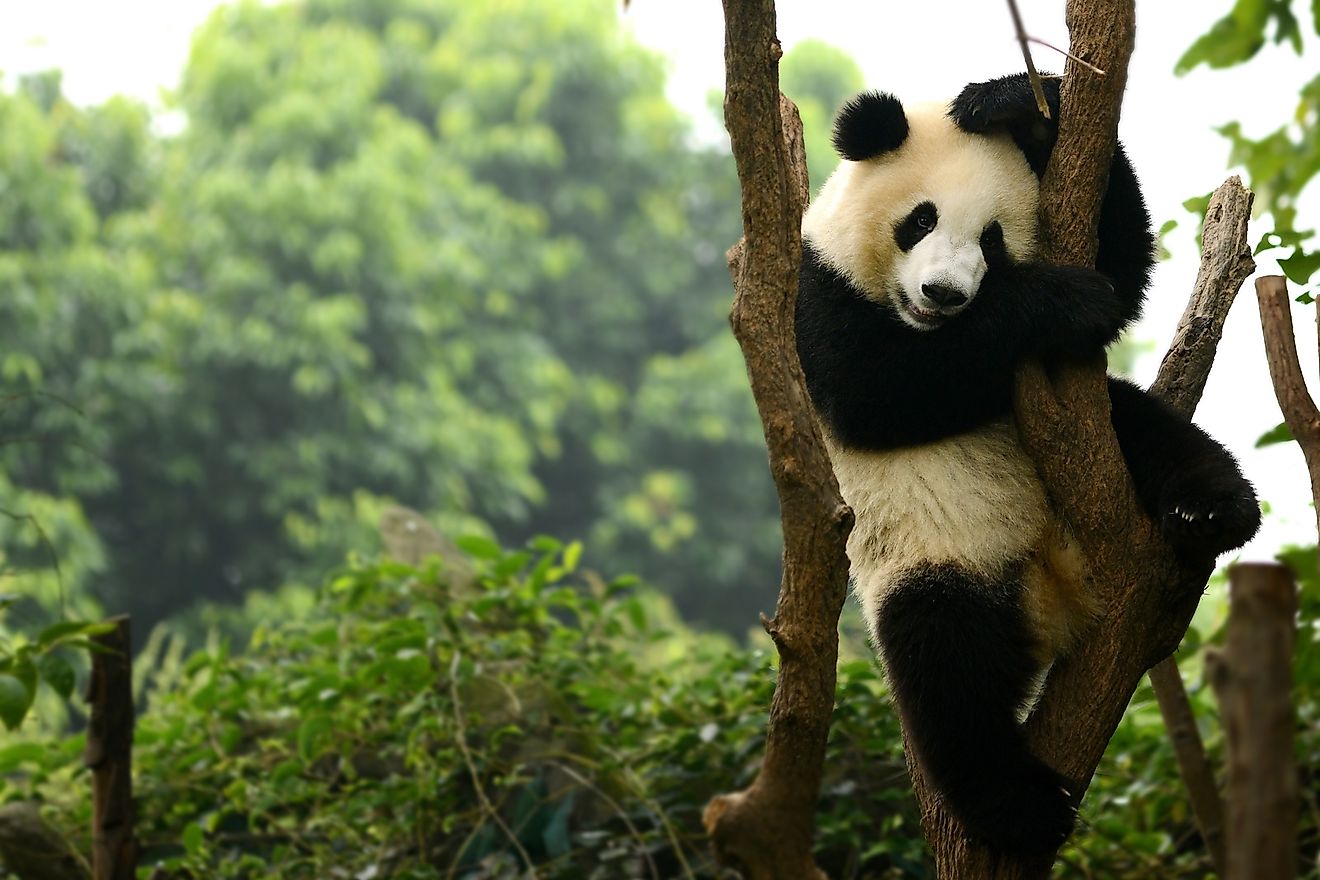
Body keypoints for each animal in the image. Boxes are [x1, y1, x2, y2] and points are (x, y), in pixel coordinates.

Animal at [792, 72, 1256, 854]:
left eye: (994, 240)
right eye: (919, 220)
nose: (944, 293)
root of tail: (1054, 596)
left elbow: (1121, 262)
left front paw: (1014, 104)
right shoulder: (814, 292)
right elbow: (874, 388)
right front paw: (1059, 300)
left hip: (1107, 448)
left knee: (1149, 429)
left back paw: (1213, 509)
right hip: (933, 557)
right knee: (946, 669)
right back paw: (1023, 808)